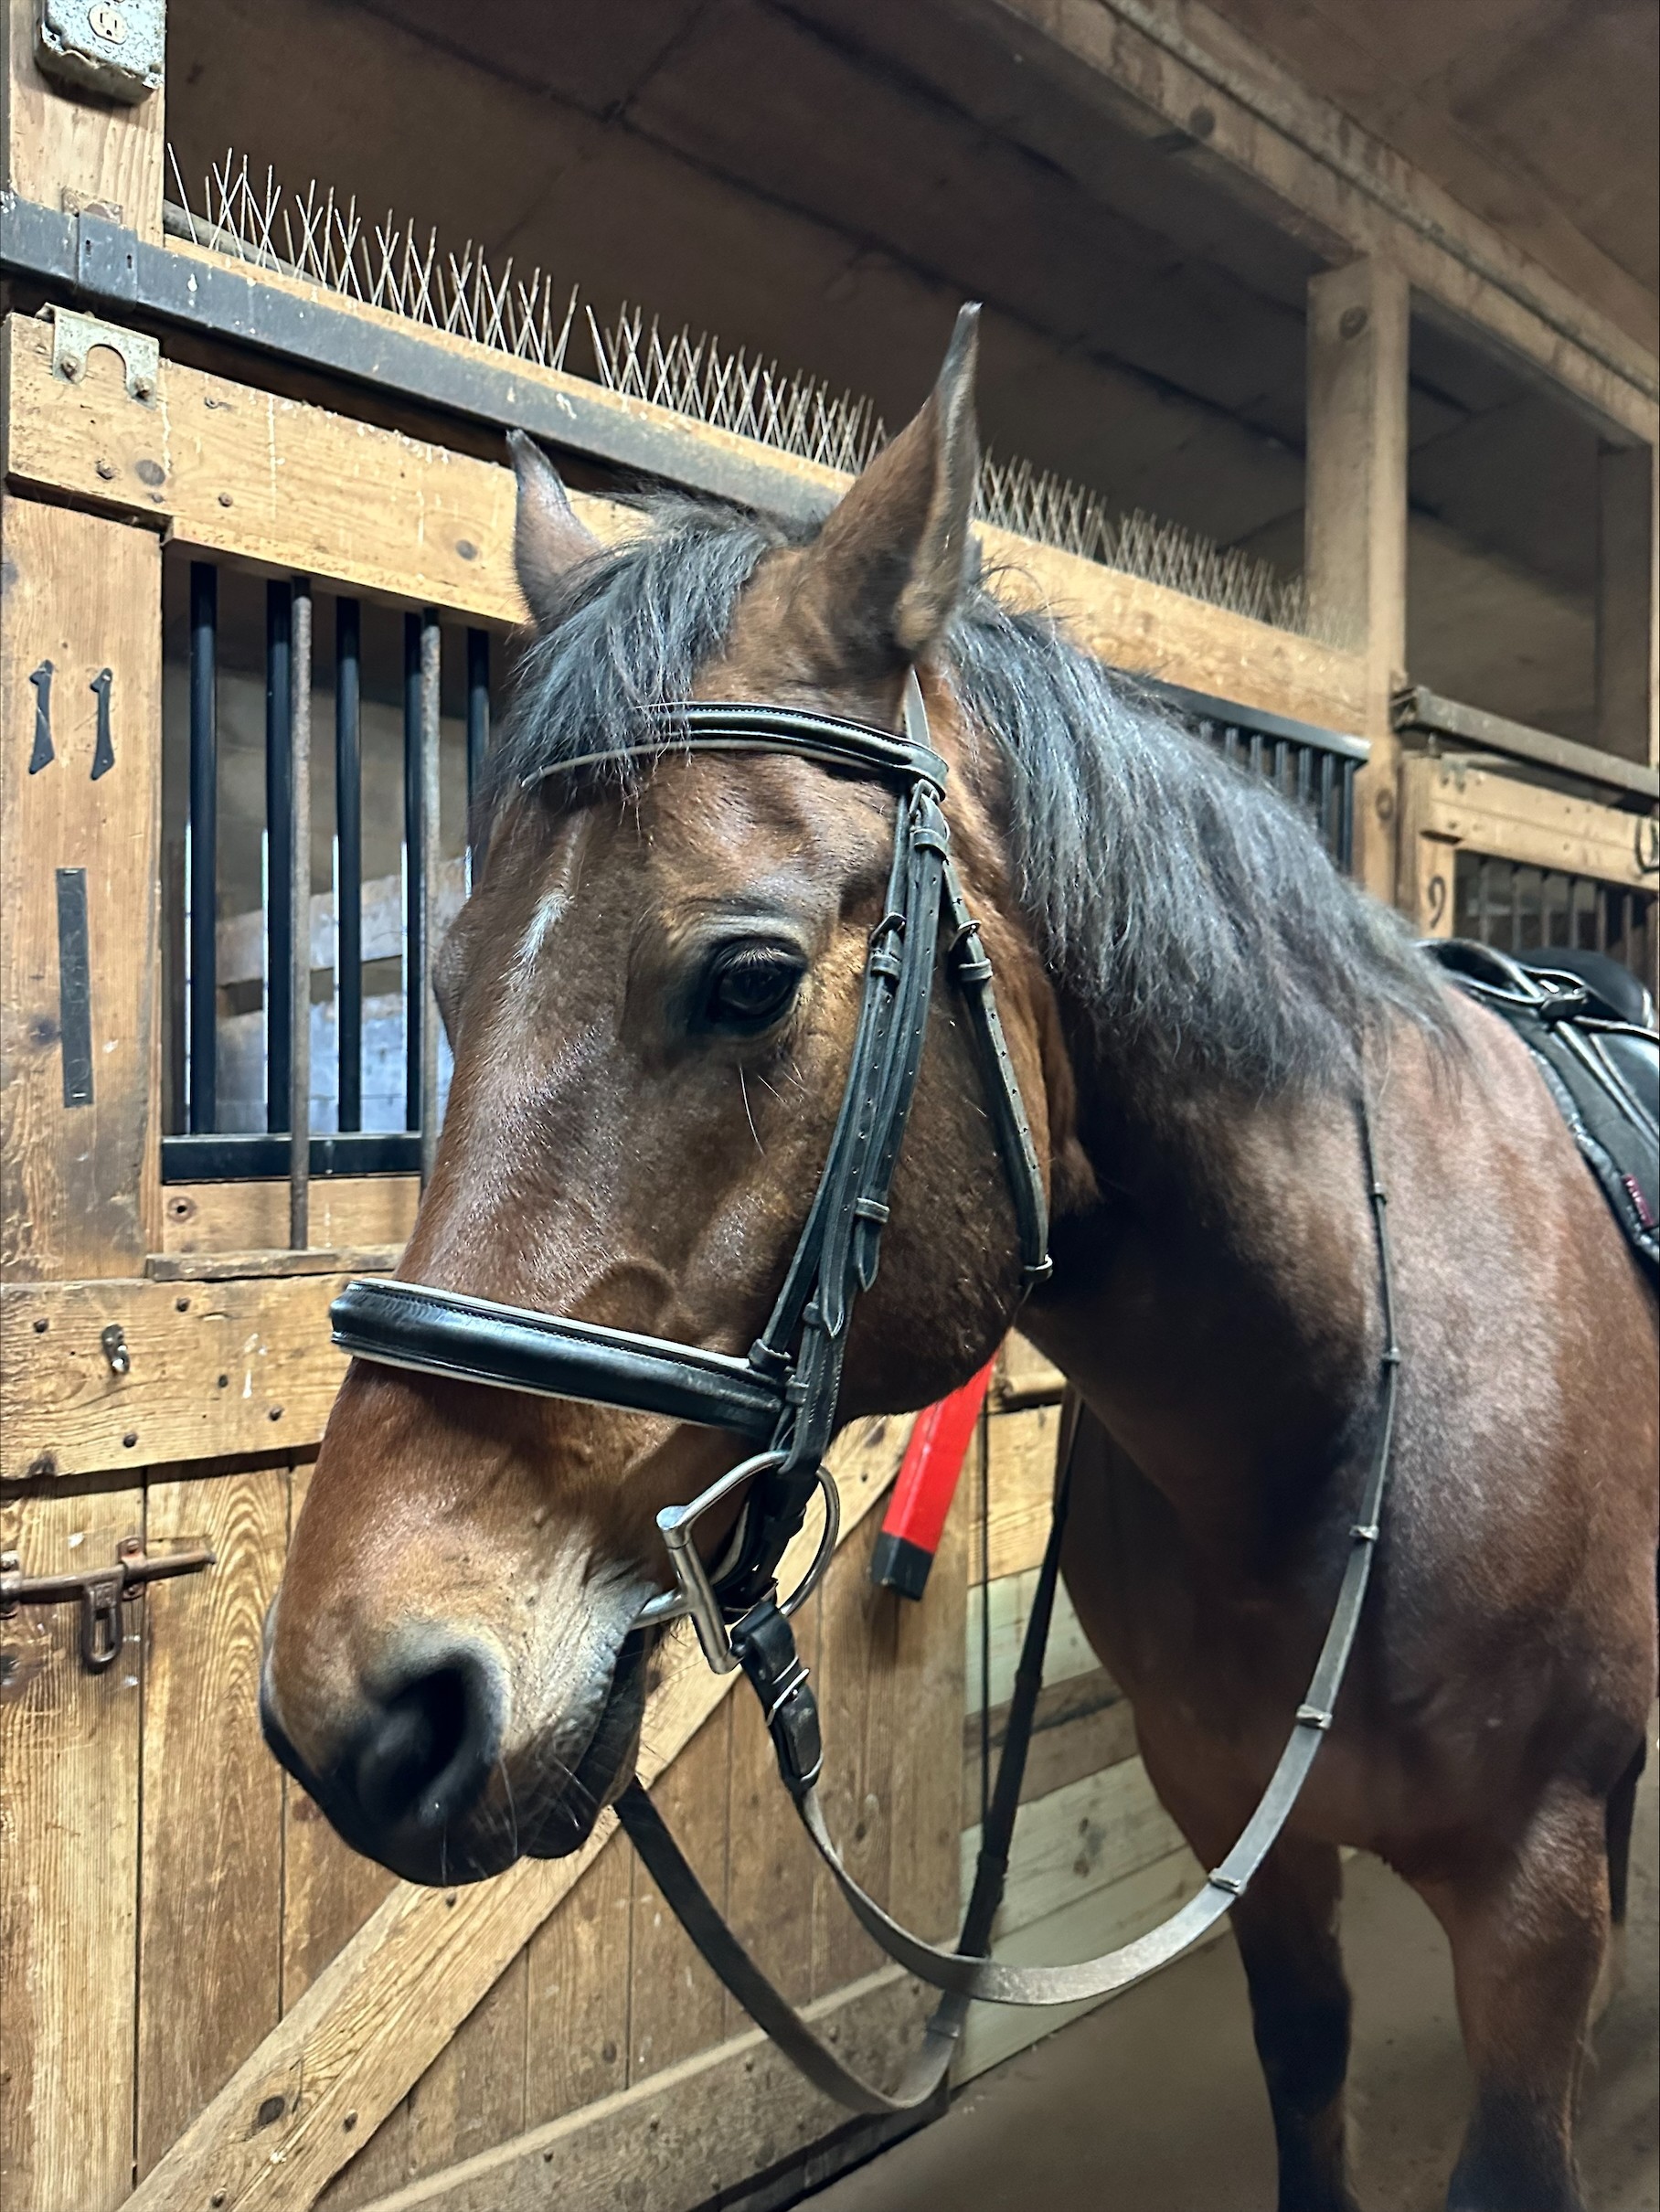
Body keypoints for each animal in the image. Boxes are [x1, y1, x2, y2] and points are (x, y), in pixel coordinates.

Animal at [261, 309, 1658, 2212]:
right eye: (452, 978)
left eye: (749, 979)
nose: (359, 1707)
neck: (1344, 1420)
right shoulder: (1258, 1857)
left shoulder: (1532, 1907)